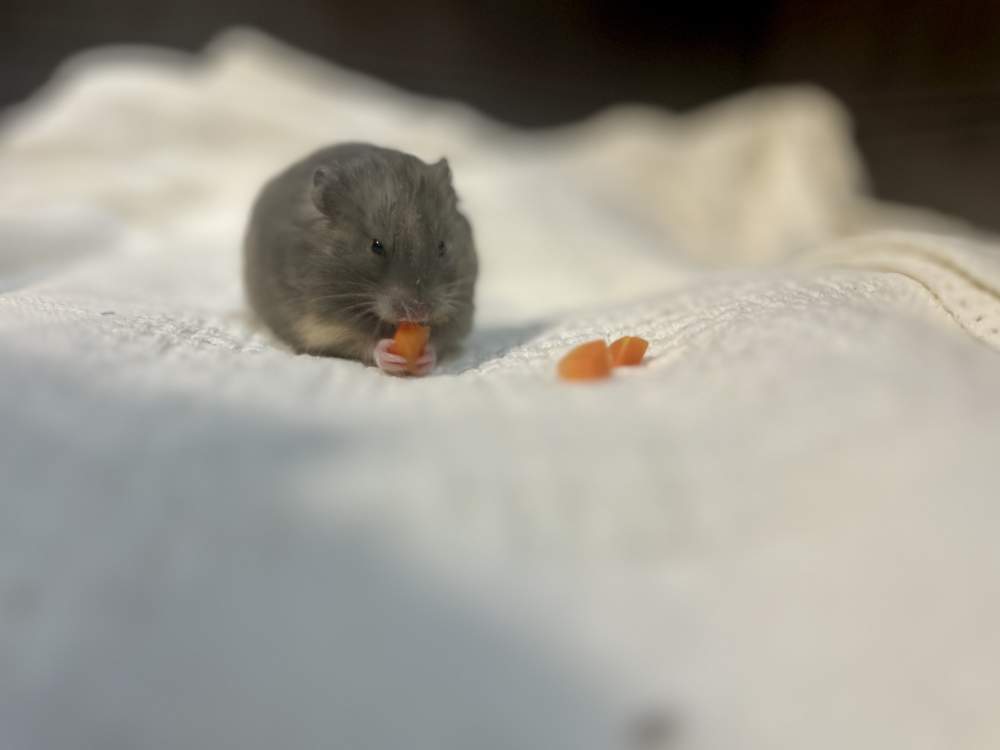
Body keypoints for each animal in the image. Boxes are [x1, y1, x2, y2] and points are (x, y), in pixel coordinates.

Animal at [243, 143, 478, 376]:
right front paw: (389, 355)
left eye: (442, 246)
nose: (419, 312)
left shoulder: (461, 308)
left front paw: (425, 356)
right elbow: (362, 342)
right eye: (376, 246)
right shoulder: (323, 322)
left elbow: (441, 339)